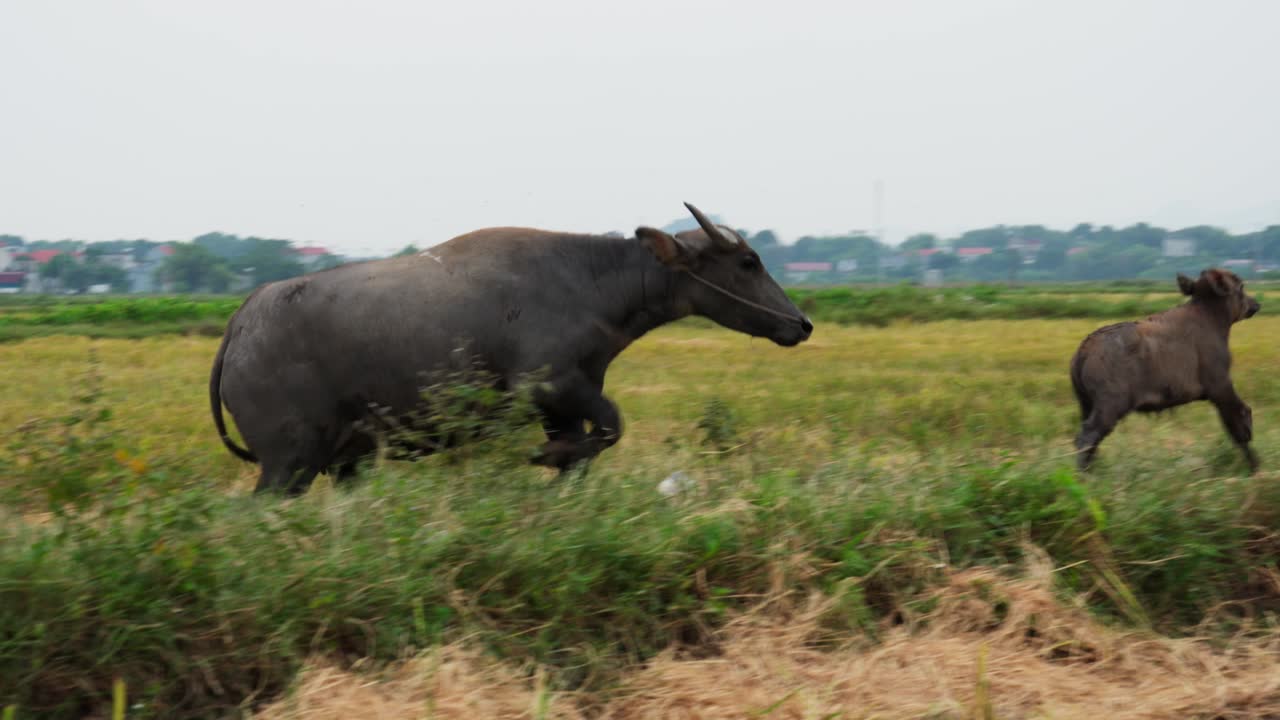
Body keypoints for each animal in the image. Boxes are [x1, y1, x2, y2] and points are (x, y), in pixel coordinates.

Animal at [210, 203, 813, 495]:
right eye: (748, 263)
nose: (801, 323)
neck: (592, 283)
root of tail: (241, 322)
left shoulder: (565, 405)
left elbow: (587, 453)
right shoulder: (554, 387)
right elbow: (612, 427)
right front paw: (541, 457)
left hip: (344, 460)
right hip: (289, 463)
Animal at [1069, 268, 1260, 473]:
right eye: (1241, 286)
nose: (1256, 304)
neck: (1209, 317)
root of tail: (1085, 347)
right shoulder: (1220, 386)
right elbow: (1239, 420)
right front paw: (1254, 466)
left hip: (1087, 405)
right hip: (1110, 406)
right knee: (1087, 436)